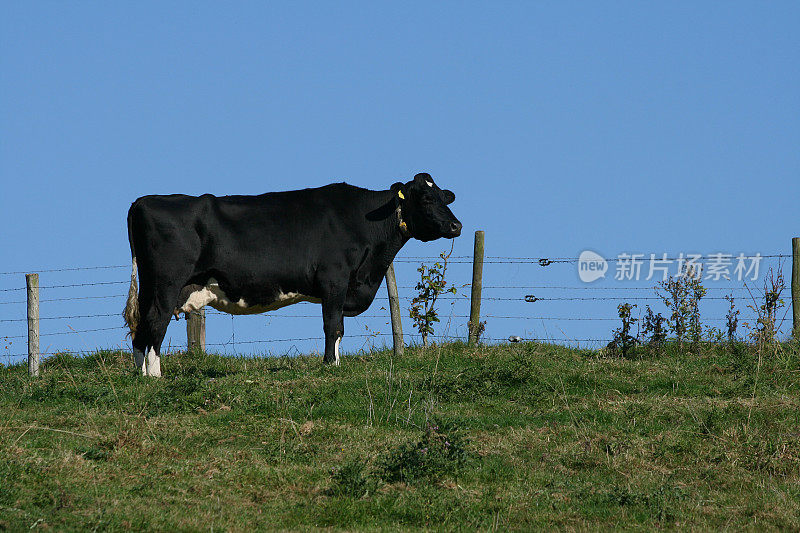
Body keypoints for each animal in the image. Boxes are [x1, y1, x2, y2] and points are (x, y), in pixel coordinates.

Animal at [125, 174, 462, 374]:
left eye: (444, 198)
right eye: (426, 199)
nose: (456, 226)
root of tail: (142, 201)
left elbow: (336, 327)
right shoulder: (334, 279)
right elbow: (333, 326)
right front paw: (331, 366)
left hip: (150, 284)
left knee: (141, 328)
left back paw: (141, 376)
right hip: (167, 282)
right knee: (156, 321)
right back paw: (156, 375)